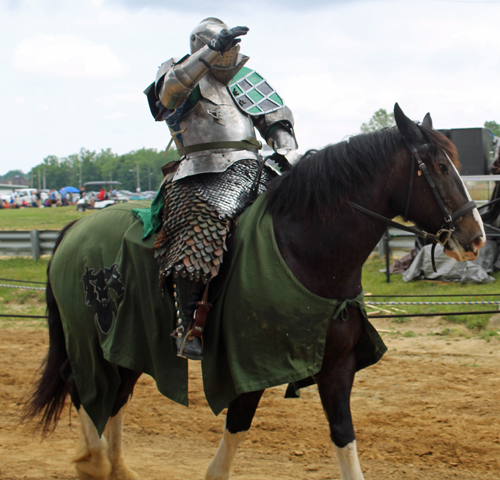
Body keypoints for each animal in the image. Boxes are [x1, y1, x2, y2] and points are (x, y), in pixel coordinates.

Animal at [22, 103, 484, 478]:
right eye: (439, 168)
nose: (475, 236)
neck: (304, 251)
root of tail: (74, 229)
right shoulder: (247, 369)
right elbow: (229, 446)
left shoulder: (337, 370)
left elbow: (344, 440)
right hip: (92, 338)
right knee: (82, 386)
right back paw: (95, 461)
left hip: (128, 341)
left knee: (116, 394)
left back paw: (116, 467)